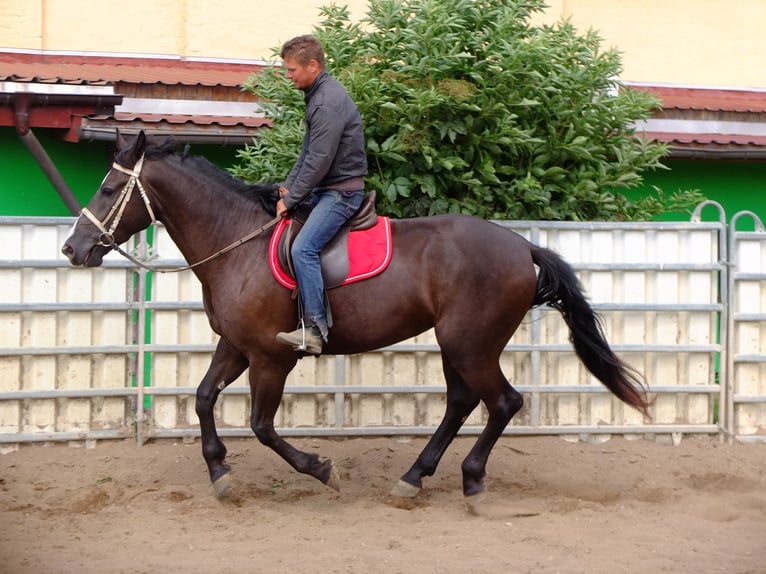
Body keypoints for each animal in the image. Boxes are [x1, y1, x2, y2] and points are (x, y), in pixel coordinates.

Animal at [61, 132, 648, 508]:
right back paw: (413, 478)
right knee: (462, 403)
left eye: (108, 189)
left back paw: (470, 480)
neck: (238, 244)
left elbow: (262, 425)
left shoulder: (271, 357)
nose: (73, 248)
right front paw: (219, 471)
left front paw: (321, 469)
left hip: (470, 345)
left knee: (503, 402)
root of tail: (521, 245)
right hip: (458, 345)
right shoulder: (236, 346)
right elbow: (204, 399)